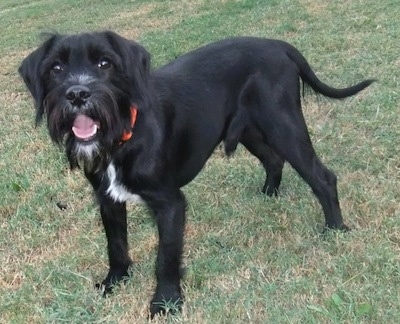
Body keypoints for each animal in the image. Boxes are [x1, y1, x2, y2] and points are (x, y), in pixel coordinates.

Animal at [18, 32, 374, 316]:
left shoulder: (170, 204)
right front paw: (114, 282)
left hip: (283, 126)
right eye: (56, 68)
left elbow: (165, 258)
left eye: (105, 64)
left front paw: (165, 303)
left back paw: (335, 229)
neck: (122, 136)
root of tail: (278, 45)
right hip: (252, 130)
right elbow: (115, 245)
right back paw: (268, 194)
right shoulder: (108, 200)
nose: (77, 94)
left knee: (323, 177)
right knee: (273, 161)